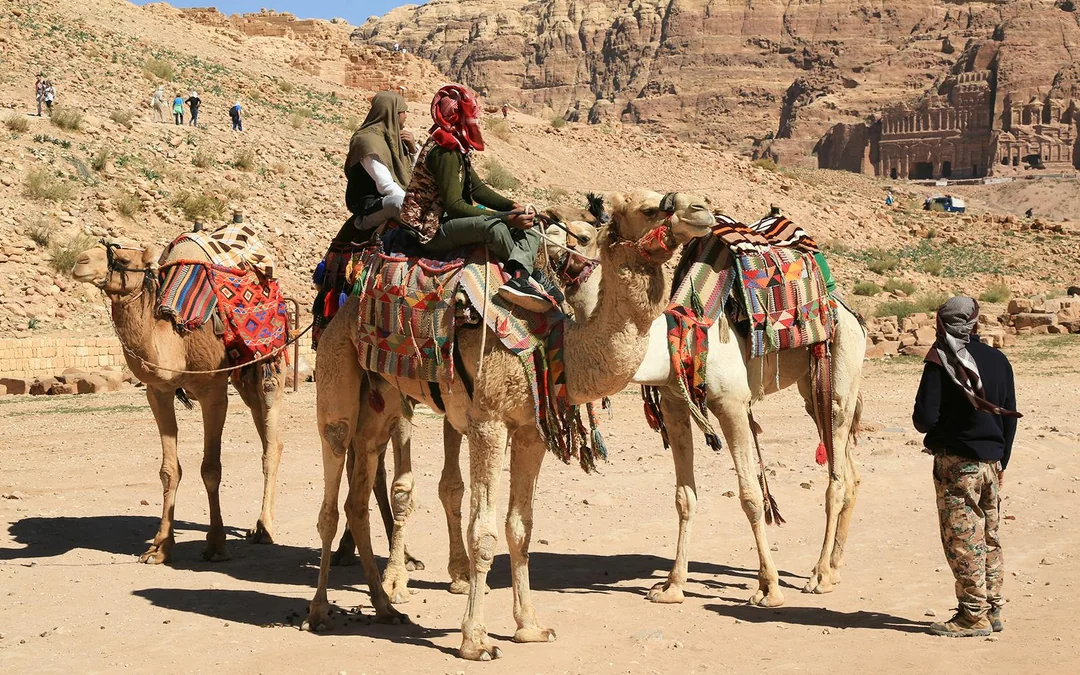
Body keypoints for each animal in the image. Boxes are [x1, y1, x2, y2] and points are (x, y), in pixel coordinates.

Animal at [72, 240, 284, 563]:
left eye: (123, 259)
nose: (79, 261)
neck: (177, 340)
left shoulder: (212, 390)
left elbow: (211, 469)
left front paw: (216, 545)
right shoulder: (158, 391)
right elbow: (169, 471)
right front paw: (159, 548)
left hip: (270, 360)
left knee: (271, 439)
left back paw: (264, 528)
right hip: (242, 375)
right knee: (265, 431)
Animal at [304, 190, 716, 660]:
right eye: (651, 208)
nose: (702, 209)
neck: (551, 342)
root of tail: (345, 307)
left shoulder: (530, 432)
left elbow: (521, 528)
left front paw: (530, 627)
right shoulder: (489, 422)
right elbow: (482, 532)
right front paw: (475, 639)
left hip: (382, 404)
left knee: (357, 500)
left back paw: (385, 606)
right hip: (336, 384)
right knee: (330, 496)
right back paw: (320, 611)